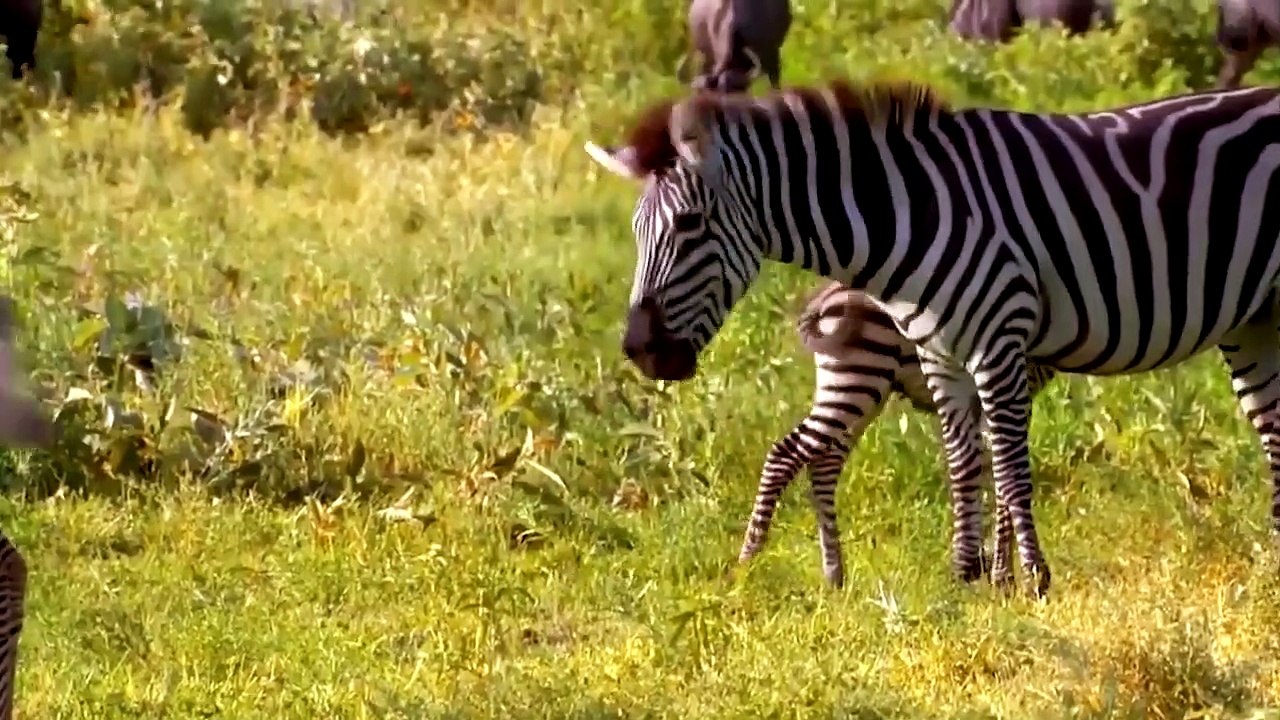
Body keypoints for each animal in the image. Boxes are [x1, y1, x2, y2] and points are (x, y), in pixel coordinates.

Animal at [743, 280, 1059, 589]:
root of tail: (824, 298)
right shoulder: (1011, 388)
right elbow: (1004, 474)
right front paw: (1003, 575)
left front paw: (996, 567)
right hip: (858, 379)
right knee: (785, 454)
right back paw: (749, 561)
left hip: (859, 391)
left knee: (823, 465)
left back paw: (834, 576)